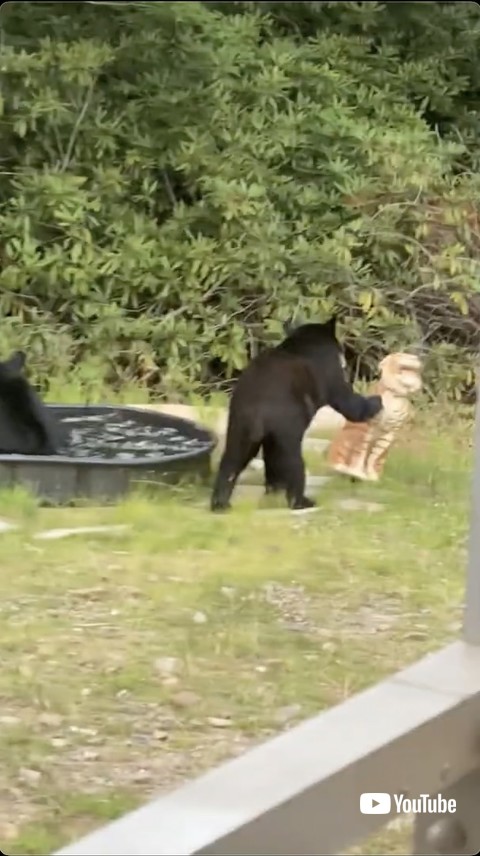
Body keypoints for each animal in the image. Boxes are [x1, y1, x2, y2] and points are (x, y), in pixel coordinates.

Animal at [210, 316, 383, 512]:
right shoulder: (330, 373)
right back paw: (301, 501)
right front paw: (377, 401)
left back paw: (222, 503)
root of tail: (256, 408)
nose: (345, 359)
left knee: (233, 457)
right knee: (291, 461)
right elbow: (346, 399)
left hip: (239, 425)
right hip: (286, 425)